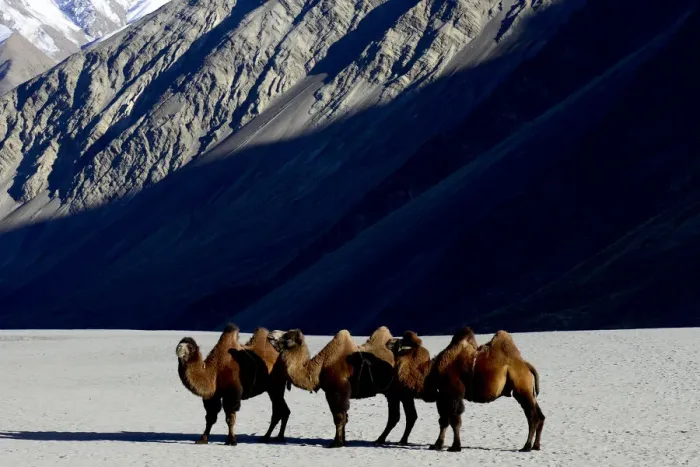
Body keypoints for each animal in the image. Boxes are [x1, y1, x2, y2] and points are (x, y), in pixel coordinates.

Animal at [267, 326, 396, 447]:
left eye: (288, 338)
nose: (271, 334)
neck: (320, 368)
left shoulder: (336, 392)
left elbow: (339, 417)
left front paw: (336, 443)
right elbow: (344, 417)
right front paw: (342, 442)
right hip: (391, 394)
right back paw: (379, 440)